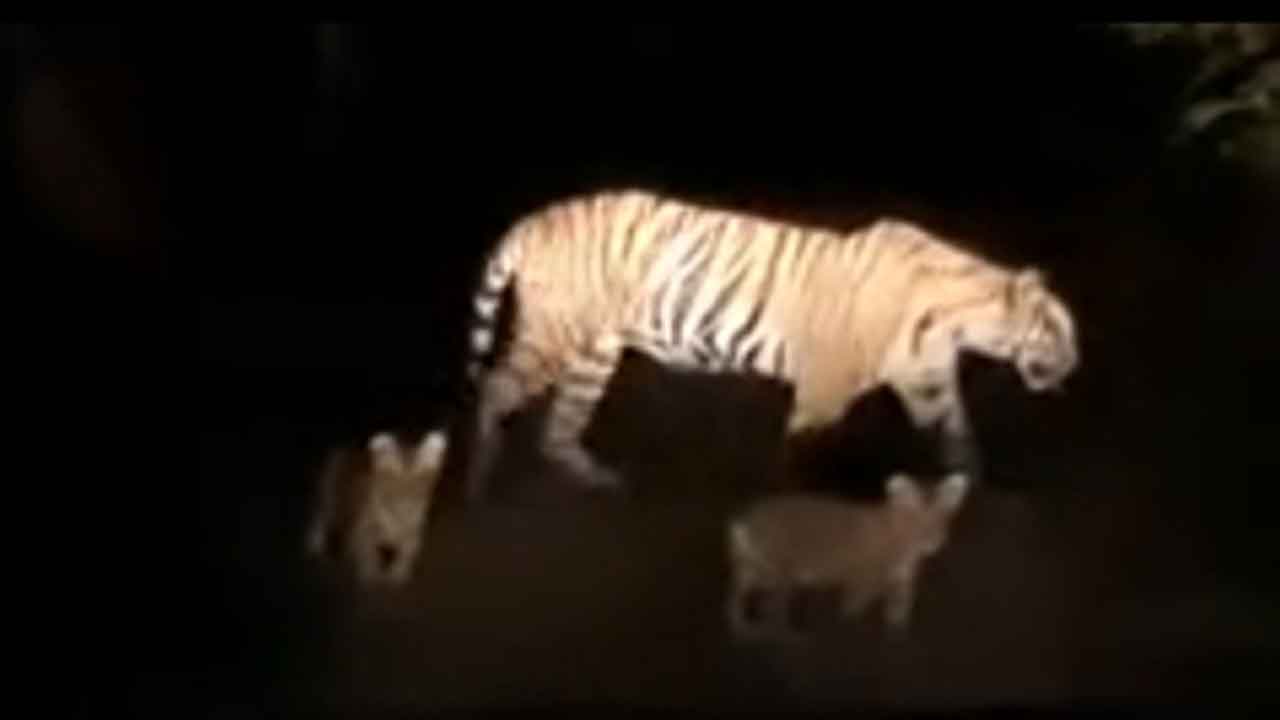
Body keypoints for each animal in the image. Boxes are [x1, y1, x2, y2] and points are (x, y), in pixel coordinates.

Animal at [459, 188, 1079, 502]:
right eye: (1057, 331)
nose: (1075, 368)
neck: (957, 323)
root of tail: (533, 220)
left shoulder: (931, 387)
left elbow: (961, 443)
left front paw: (976, 496)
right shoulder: (823, 391)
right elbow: (798, 459)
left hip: (594, 353)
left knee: (558, 425)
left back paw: (592, 479)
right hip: (555, 334)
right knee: (494, 387)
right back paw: (479, 483)